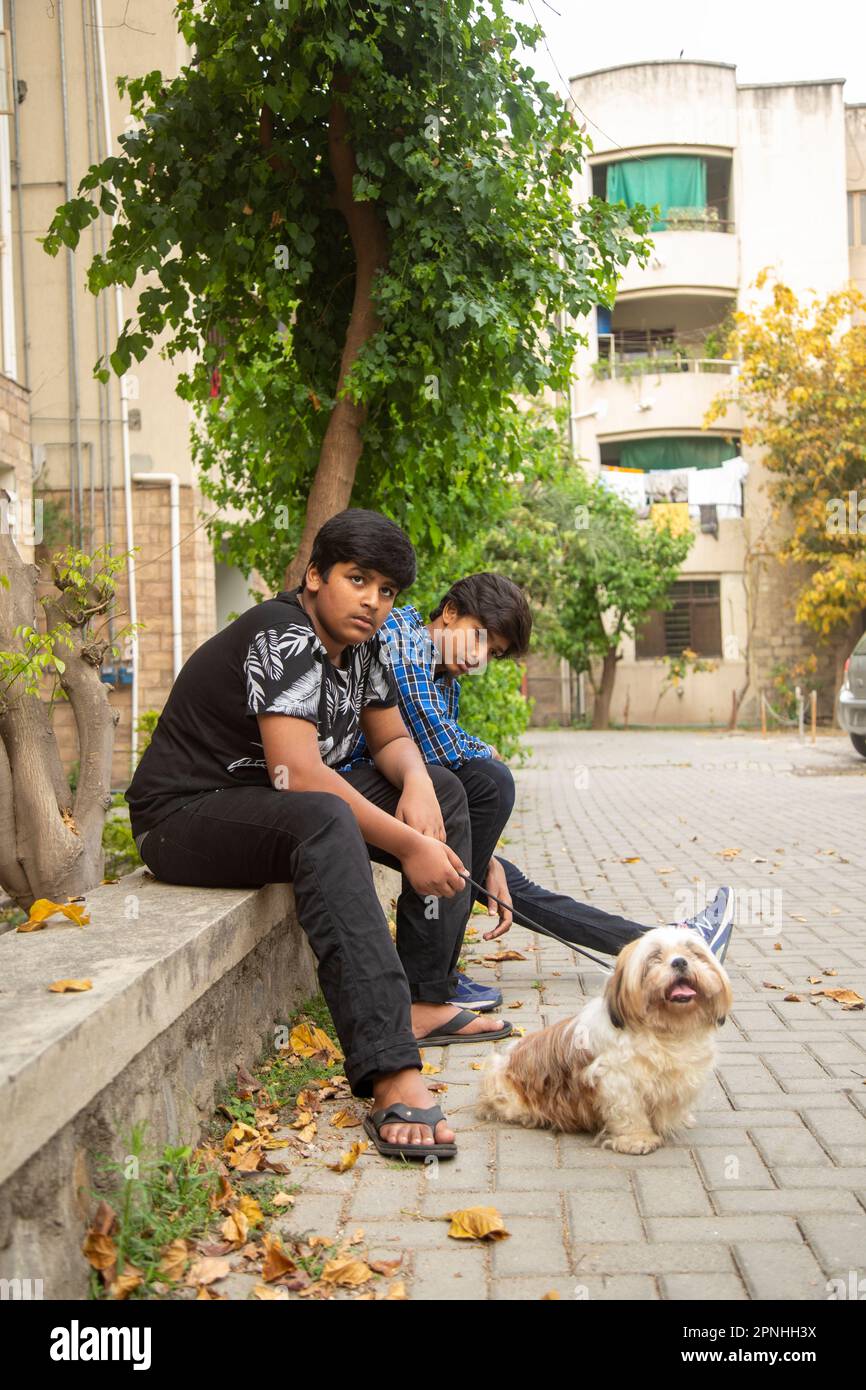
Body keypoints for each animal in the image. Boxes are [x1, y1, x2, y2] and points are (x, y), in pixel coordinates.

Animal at [478, 922, 733, 1150]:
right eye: (655, 957)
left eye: (693, 952)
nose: (680, 961)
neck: (665, 1031)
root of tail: (505, 1060)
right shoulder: (618, 1081)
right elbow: (629, 1113)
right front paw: (638, 1139)